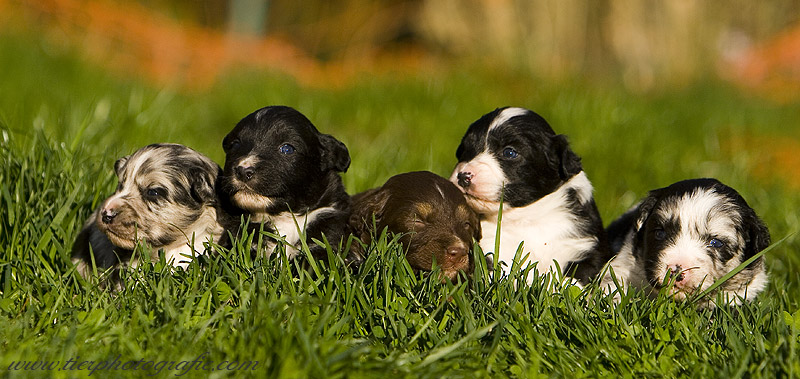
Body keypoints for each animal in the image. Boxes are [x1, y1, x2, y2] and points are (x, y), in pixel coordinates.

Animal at [450, 105, 612, 284]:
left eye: (509, 153)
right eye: (464, 151)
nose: (463, 176)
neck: (528, 217)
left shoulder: (582, 245)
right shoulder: (490, 246)